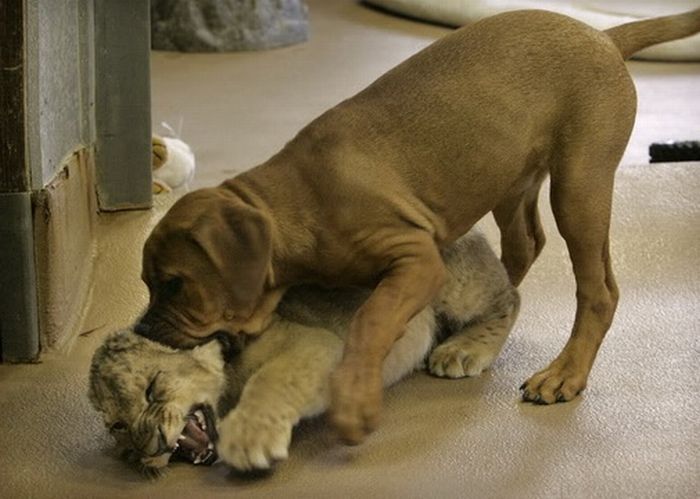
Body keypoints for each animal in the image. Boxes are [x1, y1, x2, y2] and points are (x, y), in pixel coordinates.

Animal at [137, 8, 700, 446]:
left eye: (175, 284)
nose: (141, 330)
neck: (298, 201)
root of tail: (605, 37)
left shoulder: (416, 257)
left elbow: (372, 320)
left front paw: (355, 403)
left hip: (579, 187)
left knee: (598, 289)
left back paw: (564, 372)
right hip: (508, 177)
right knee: (524, 246)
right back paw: (476, 335)